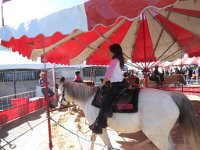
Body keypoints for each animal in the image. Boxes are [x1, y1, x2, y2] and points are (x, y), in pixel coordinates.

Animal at [58, 80, 199, 149]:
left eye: (60, 92)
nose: (59, 106)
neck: (89, 99)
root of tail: (171, 96)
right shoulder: (95, 126)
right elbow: (93, 140)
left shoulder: (100, 127)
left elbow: (108, 145)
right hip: (164, 134)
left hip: (156, 135)